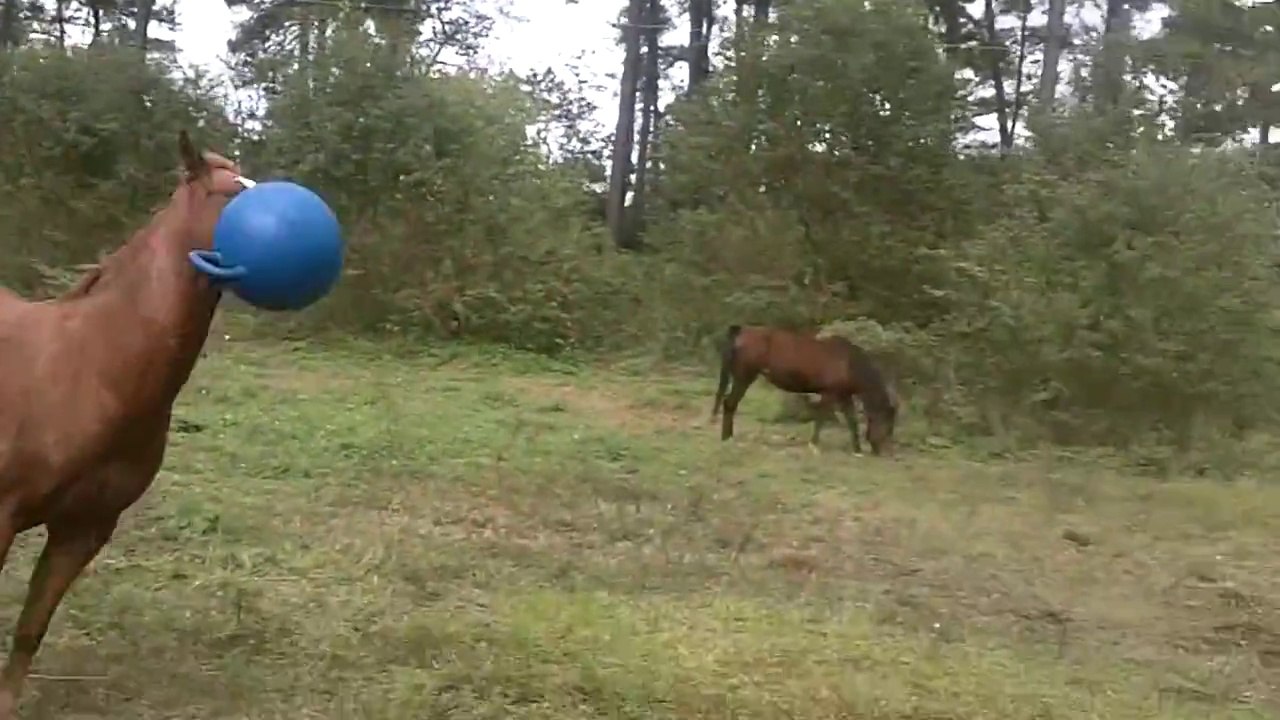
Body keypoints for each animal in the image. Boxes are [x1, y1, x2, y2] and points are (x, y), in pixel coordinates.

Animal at [710, 324, 898, 455]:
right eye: (887, 424)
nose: (884, 451)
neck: (849, 363)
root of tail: (742, 331)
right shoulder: (830, 394)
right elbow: (821, 418)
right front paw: (814, 445)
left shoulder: (844, 396)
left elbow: (852, 421)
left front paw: (857, 450)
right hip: (744, 378)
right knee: (730, 403)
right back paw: (727, 438)